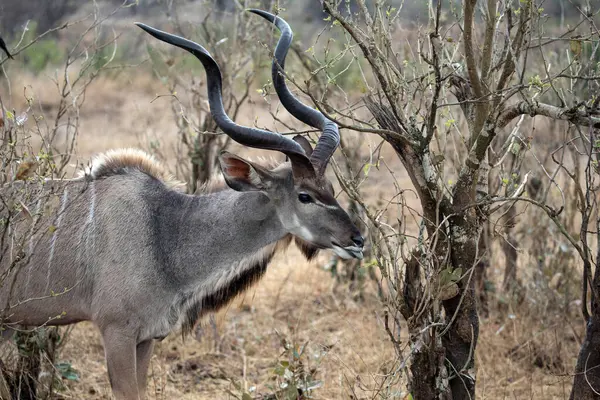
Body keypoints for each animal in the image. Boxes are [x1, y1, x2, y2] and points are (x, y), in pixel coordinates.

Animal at [0, 9, 360, 400]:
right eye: (304, 195)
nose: (357, 240)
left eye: (330, 187)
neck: (166, 231)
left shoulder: (147, 338)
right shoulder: (117, 332)